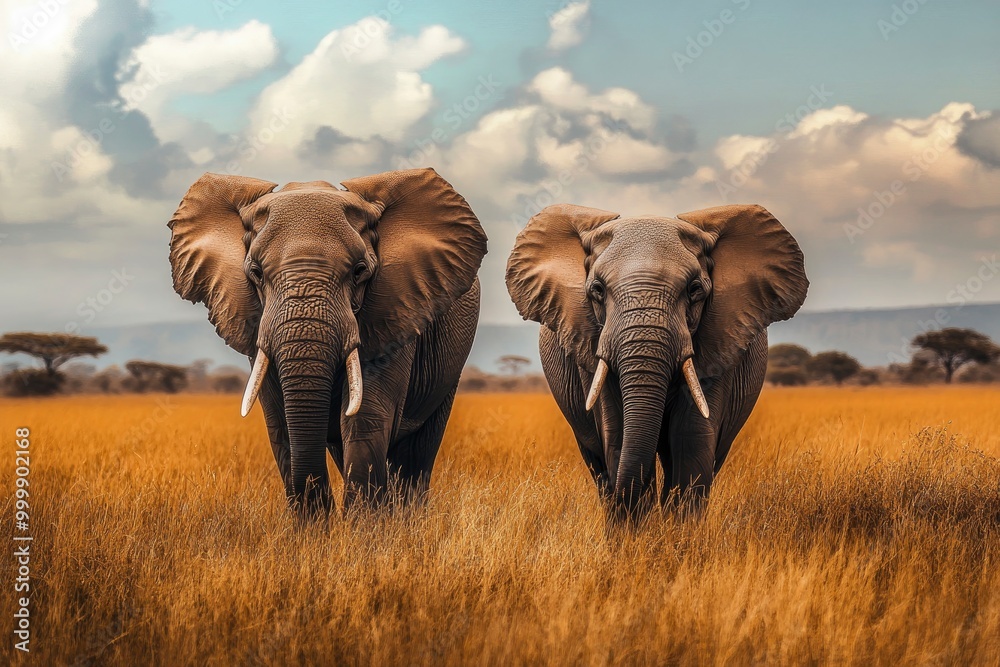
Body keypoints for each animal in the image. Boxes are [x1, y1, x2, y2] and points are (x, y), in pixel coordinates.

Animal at [168, 167, 488, 517]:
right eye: (256, 273)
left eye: (360, 271)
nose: (321, 510)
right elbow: (281, 425)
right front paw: (314, 528)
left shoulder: (396, 308)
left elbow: (364, 418)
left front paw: (363, 530)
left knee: (417, 453)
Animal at [506, 203, 807, 521]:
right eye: (597, 290)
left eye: (694, 289)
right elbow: (618, 435)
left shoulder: (721, 338)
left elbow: (691, 438)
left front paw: (676, 532)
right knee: (598, 462)